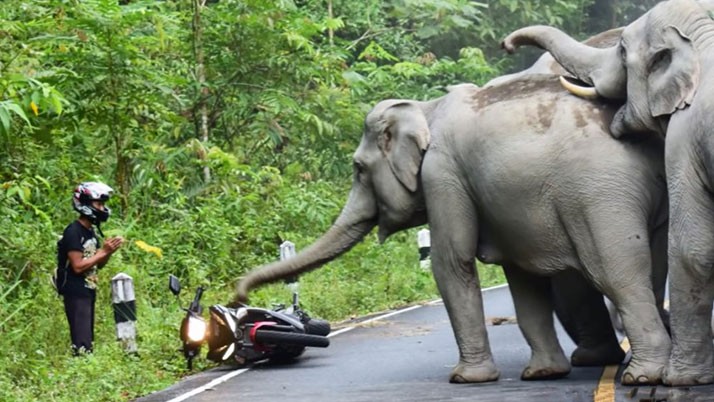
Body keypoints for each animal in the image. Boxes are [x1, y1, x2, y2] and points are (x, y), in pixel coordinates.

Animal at [234, 74, 670, 385]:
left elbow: (451, 262)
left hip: (598, 195)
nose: (239, 296)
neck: (425, 110)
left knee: (617, 275)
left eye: (358, 168)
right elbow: (522, 280)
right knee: (655, 268)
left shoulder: (442, 174)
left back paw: (642, 375)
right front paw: (542, 373)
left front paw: (465, 379)